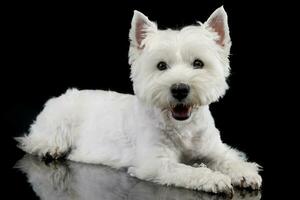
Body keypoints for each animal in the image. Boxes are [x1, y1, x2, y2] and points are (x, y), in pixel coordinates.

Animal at [16, 7, 262, 196]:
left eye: (198, 63)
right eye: (161, 65)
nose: (180, 89)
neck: (182, 127)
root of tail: (61, 96)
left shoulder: (214, 149)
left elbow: (229, 158)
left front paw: (246, 173)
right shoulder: (154, 161)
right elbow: (186, 170)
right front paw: (214, 179)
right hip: (58, 123)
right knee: (36, 141)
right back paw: (51, 149)